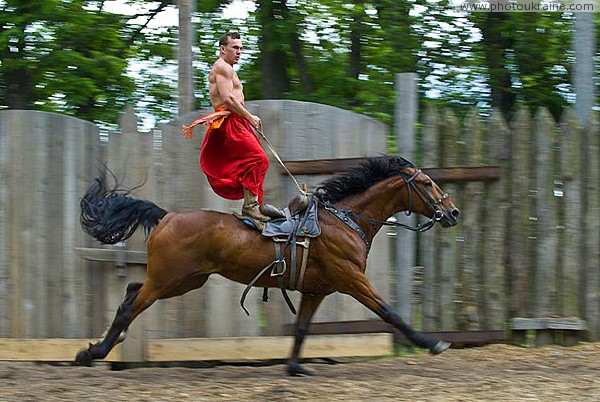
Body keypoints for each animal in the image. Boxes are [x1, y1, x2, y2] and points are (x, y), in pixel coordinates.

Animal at [74, 155, 460, 376]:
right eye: (426, 183)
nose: (453, 212)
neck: (345, 220)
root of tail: (167, 215)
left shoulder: (317, 290)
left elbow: (302, 328)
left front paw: (294, 367)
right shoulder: (352, 279)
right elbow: (390, 313)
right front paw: (431, 343)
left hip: (185, 281)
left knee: (130, 292)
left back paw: (100, 348)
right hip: (168, 280)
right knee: (129, 306)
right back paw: (93, 353)